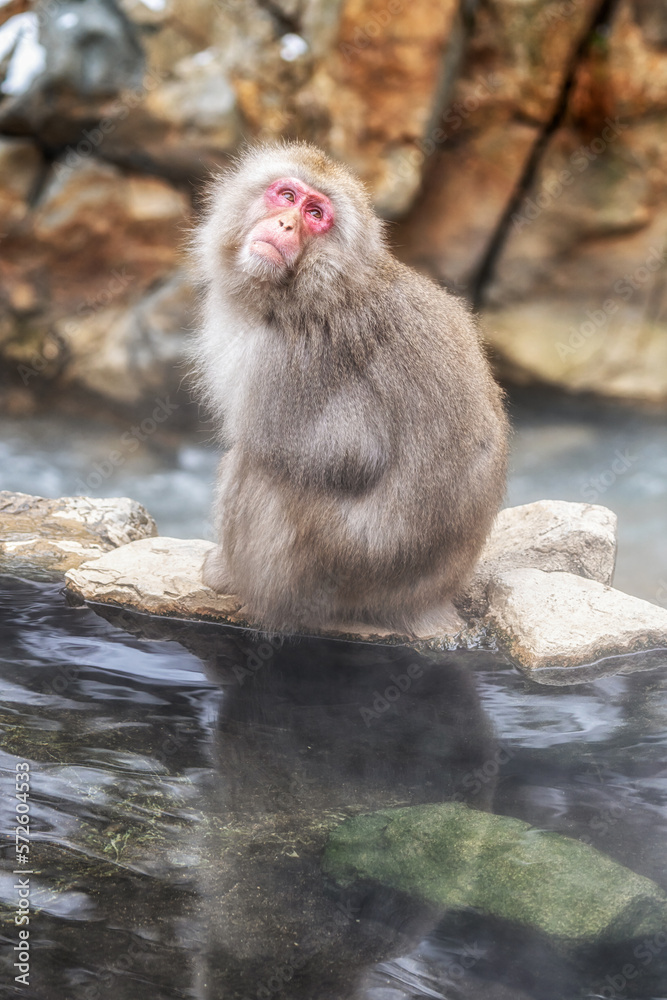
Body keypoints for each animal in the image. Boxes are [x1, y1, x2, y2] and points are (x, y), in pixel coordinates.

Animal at [191, 141, 508, 634]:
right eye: (286, 196)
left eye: (315, 213)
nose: (285, 224)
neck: (315, 286)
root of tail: (430, 597)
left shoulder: (295, 359)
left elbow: (349, 454)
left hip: (328, 567)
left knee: (256, 465)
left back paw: (231, 577)